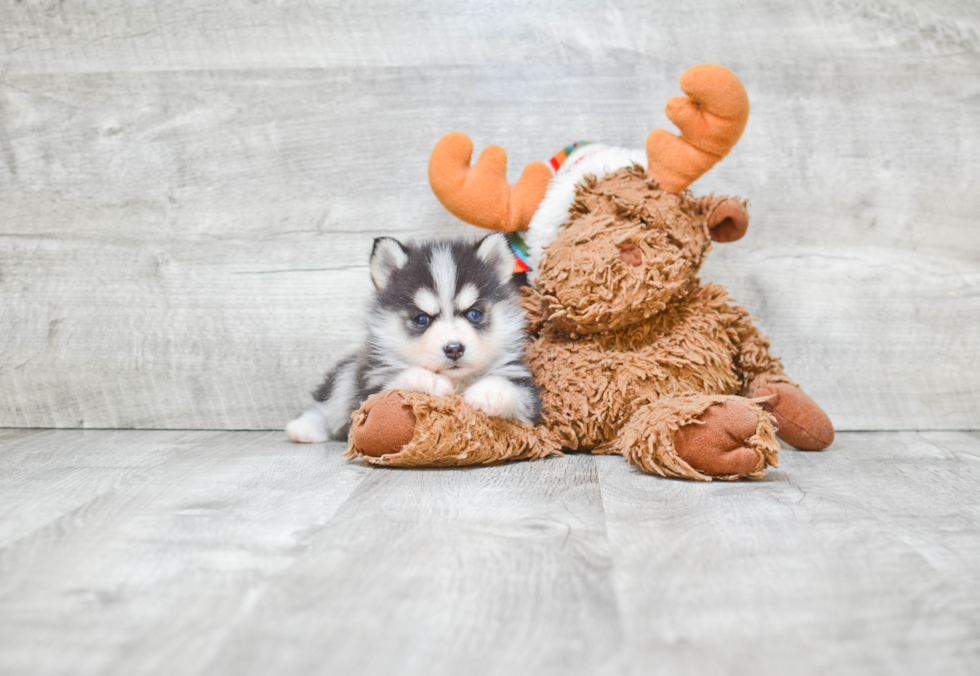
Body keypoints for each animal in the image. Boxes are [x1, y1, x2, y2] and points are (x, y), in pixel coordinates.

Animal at [284, 232, 544, 444]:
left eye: (474, 314)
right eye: (421, 319)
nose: (454, 348)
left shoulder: (529, 399)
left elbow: (514, 390)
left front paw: (489, 392)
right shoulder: (368, 389)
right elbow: (397, 380)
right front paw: (429, 381)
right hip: (348, 374)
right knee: (328, 404)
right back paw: (304, 428)